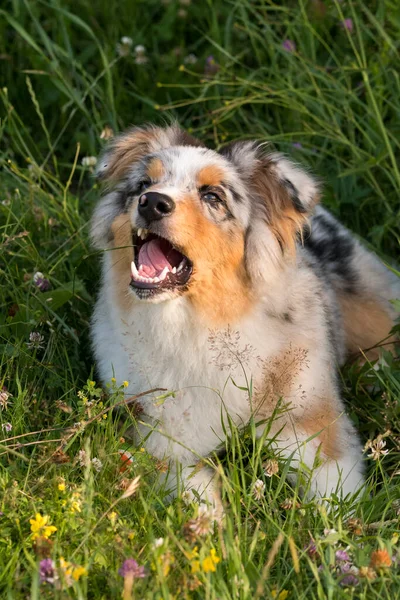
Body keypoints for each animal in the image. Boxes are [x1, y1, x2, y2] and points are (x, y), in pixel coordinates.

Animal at [90, 124, 400, 504]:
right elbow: (190, 485)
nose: (152, 202)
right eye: (144, 184)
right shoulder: (159, 432)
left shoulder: (311, 418)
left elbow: (333, 488)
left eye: (212, 196)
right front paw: (213, 516)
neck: (198, 325)